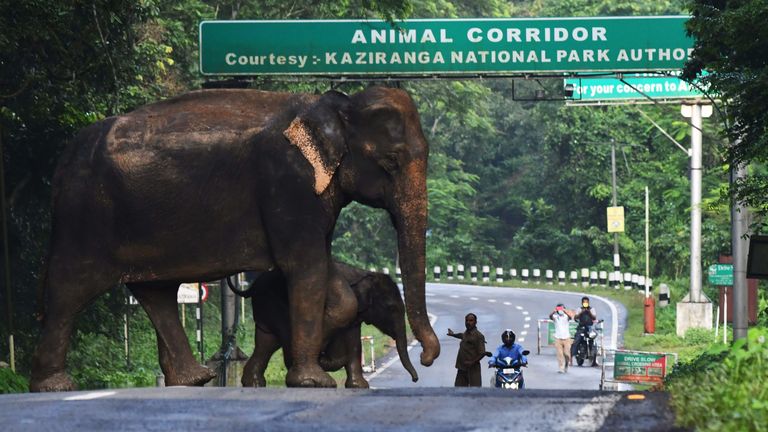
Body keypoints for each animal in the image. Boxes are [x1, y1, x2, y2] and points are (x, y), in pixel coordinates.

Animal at [240, 262, 419, 388]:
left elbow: (354, 342)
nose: (415, 379)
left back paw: (254, 384)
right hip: (274, 303)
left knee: (266, 343)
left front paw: (359, 386)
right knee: (281, 335)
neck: (365, 274)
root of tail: (253, 286)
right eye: (391, 308)